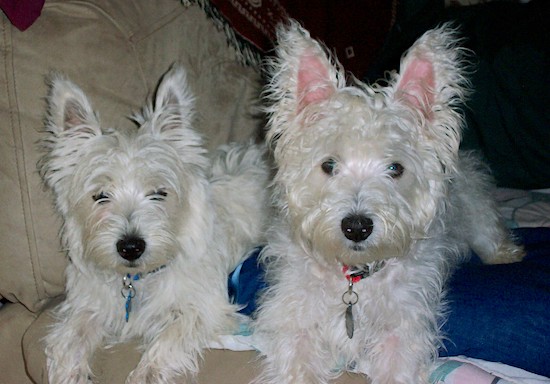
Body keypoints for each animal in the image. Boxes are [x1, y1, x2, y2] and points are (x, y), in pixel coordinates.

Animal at [38, 64, 272, 382]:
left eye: (159, 193)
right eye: (100, 196)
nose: (131, 247)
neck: (137, 279)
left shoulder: (206, 308)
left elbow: (168, 340)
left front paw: (144, 374)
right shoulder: (89, 306)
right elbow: (70, 340)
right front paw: (68, 373)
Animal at [254, 21, 528, 384]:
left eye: (395, 168)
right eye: (329, 165)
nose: (357, 227)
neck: (354, 277)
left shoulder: (403, 331)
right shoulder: (294, 321)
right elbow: (298, 364)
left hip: (474, 205)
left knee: (490, 233)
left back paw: (507, 254)